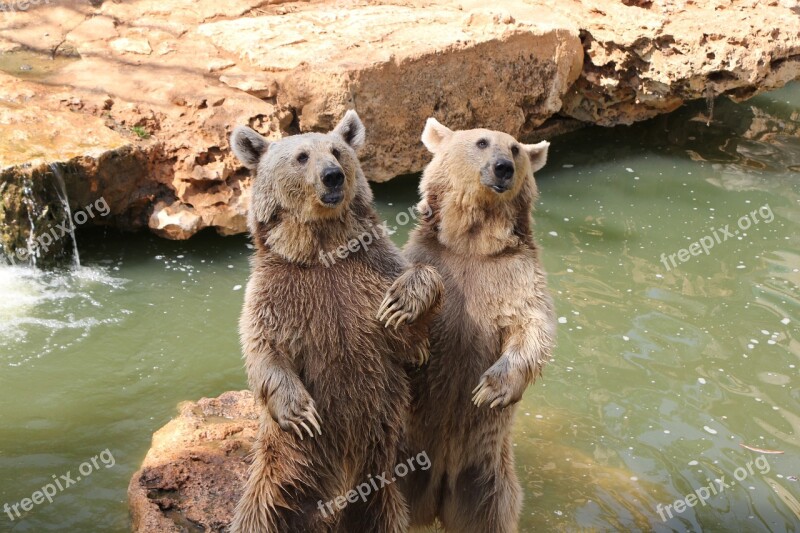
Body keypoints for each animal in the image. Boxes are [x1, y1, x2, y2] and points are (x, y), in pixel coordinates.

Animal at [228, 109, 444, 532]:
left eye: (337, 151)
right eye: (301, 156)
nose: (332, 176)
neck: (322, 252)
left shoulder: (369, 275)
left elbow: (412, 337)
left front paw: (404, 303)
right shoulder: (277, 291)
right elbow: (263, 347)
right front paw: (301, 413)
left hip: (380, 485)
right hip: (281, 473)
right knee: (257, 515)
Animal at [396, 117, 556, 532]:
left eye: (515, 148)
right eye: (482, 142)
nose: (504, 168)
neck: (473, 244)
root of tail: (438, 497)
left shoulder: (515, 275)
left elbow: (532, 327)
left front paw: (491, 389)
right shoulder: (437, 259)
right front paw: (408, 305)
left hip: (487, 483)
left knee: (491, 515)